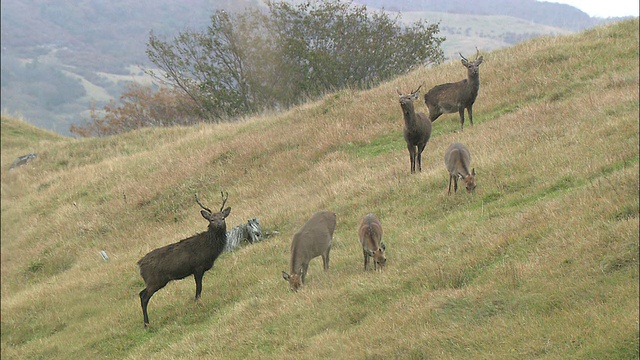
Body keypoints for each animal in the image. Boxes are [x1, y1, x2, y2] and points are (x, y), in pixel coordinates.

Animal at [136, 193, 231, 328]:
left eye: (223, 217)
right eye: (211, 219)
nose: (219, 225)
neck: (209, 249)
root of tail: (139, 265)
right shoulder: (198, 267)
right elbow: (199, 287)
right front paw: (197, 301)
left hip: (154, 281)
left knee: (140, 294)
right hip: (155, 280)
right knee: (144, 297)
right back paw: (146, 324)